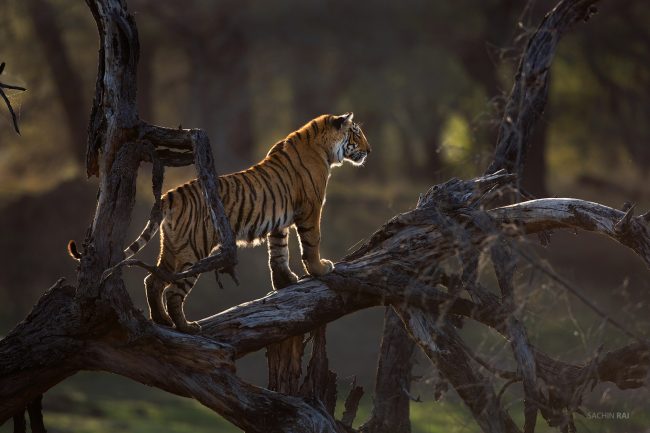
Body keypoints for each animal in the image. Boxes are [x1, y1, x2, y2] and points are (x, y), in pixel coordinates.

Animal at [69, 112, 370, 333]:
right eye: (356, 133)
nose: (368, 150)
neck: (324, 147)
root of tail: (169, 195)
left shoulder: (280, 219)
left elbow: (278, 251)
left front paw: (284, 281)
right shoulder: (309, 209)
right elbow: (311, 241)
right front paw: (320, 268)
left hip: (174, 247)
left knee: (153, 280)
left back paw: (162, 321)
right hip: (194, 250)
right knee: (173, 291)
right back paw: (187, 327)